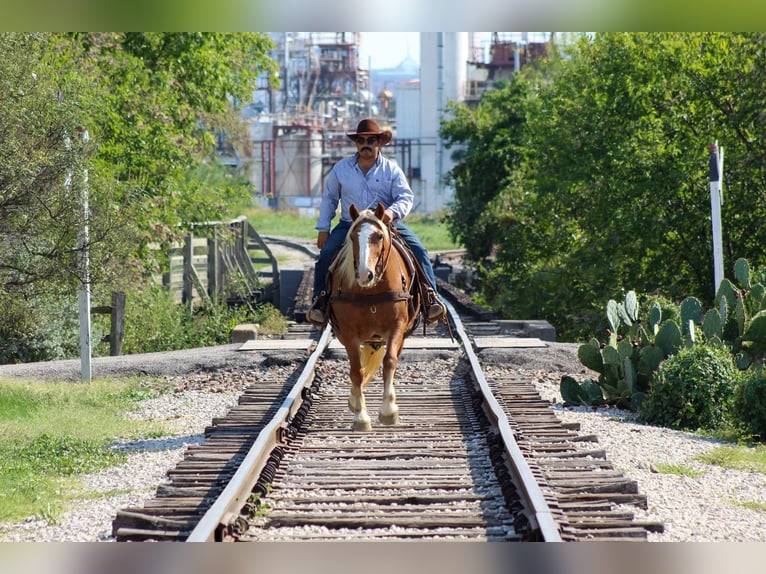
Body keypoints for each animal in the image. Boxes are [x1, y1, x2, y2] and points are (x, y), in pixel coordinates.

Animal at [326, 202, 420, 432]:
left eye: (378, 236)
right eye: (352, 237)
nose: (363, 274)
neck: (372, 291)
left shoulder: (397, 327)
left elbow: (389, 362)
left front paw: (388, 411)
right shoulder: (349, 333)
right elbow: (357, 371)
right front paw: (361, 417)